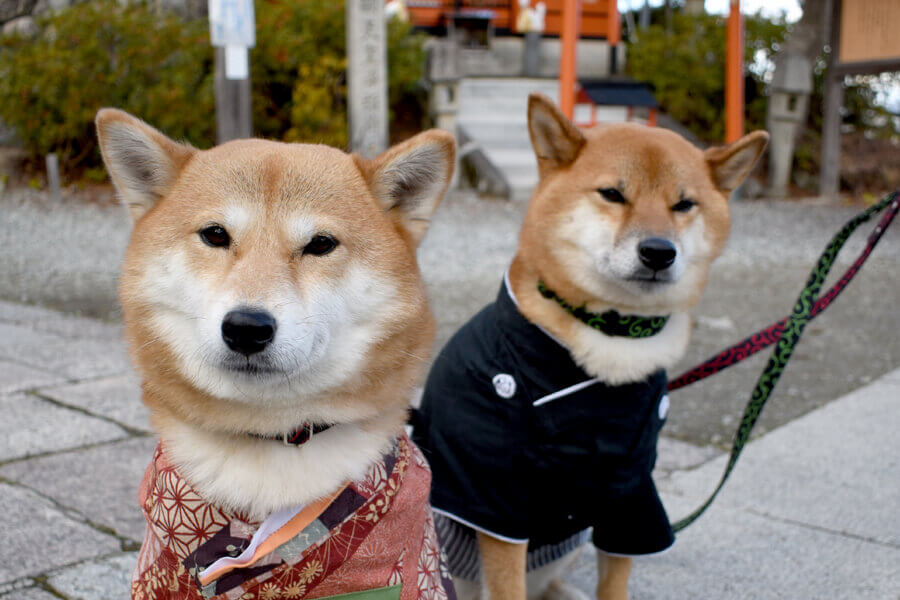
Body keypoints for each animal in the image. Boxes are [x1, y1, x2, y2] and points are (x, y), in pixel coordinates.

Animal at [412, 95, 768, 600]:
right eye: (613, 194)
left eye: (684, 204)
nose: (659, 251)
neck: (610, 339)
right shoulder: (495, 495)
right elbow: (507, 585)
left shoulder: (631, 490)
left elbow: (615, 580)